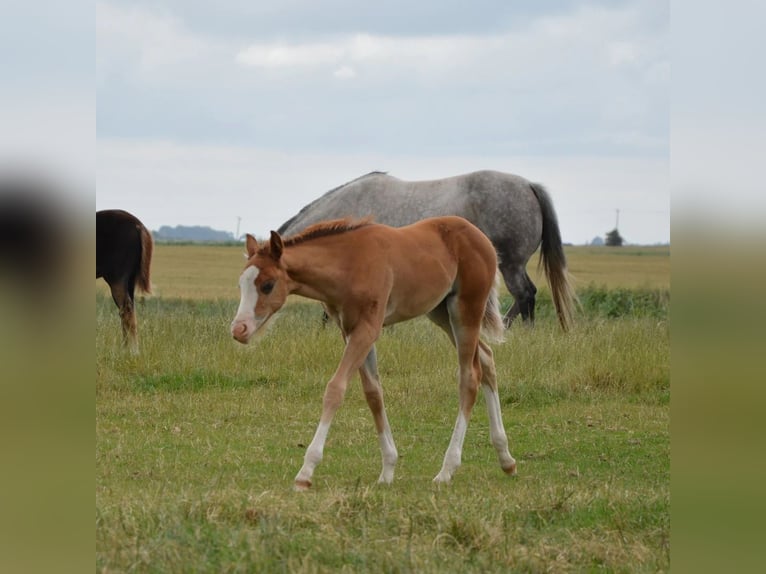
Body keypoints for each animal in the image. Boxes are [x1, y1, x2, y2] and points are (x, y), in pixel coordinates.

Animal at [96, 209, 153, 354]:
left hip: (117, 278)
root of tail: (139, 226)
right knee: (129, 309)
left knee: (126, 310)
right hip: (130, 280)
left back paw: (132, 351)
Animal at [230, 216, 517, 490]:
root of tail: (481, 237)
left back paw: (447, 470)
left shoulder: (368, 328)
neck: (347, 264)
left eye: (267, 285)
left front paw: (306, 472)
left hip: (466, 309)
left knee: (469, 377)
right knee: (486, 359)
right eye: (241, 284)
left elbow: (336, 389)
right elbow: (373, 393)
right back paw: (506, 459)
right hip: (441, 313)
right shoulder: (350, 331)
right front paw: (388, 469)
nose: (239, 329)